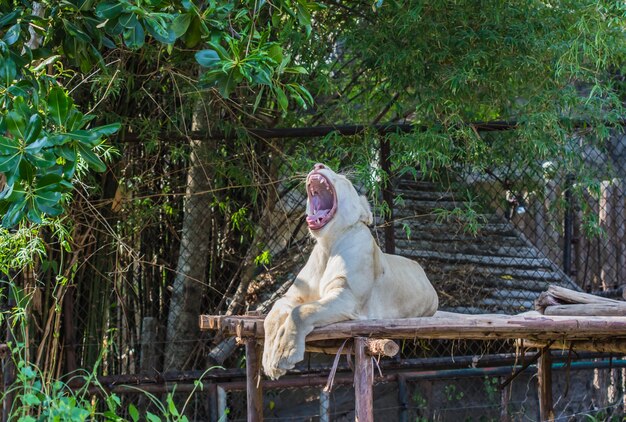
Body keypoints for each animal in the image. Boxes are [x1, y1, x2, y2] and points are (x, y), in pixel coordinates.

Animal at [260, 162, 436, 380]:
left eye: (343, 179)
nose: (318, 165)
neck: (327, 245)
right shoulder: (293, 295)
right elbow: (273, 314)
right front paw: (269, 358)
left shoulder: (346, 296)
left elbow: (301, 312)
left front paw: (284, 354)